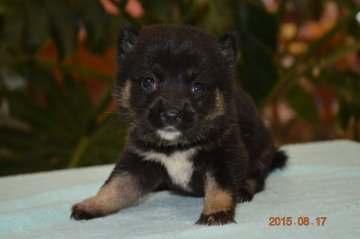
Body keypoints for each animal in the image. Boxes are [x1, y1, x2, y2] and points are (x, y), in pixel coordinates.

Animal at [71, 24, 286, 226]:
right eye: (148, 82)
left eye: (198, 86)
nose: (171, 115)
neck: (176, 147)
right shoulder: (137, 161)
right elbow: (115, 186)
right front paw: (92, 205)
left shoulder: (225, 157)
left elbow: (220, 187)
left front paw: (216, 211)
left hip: (263, 149)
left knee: (257, 177)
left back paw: (244, 189)